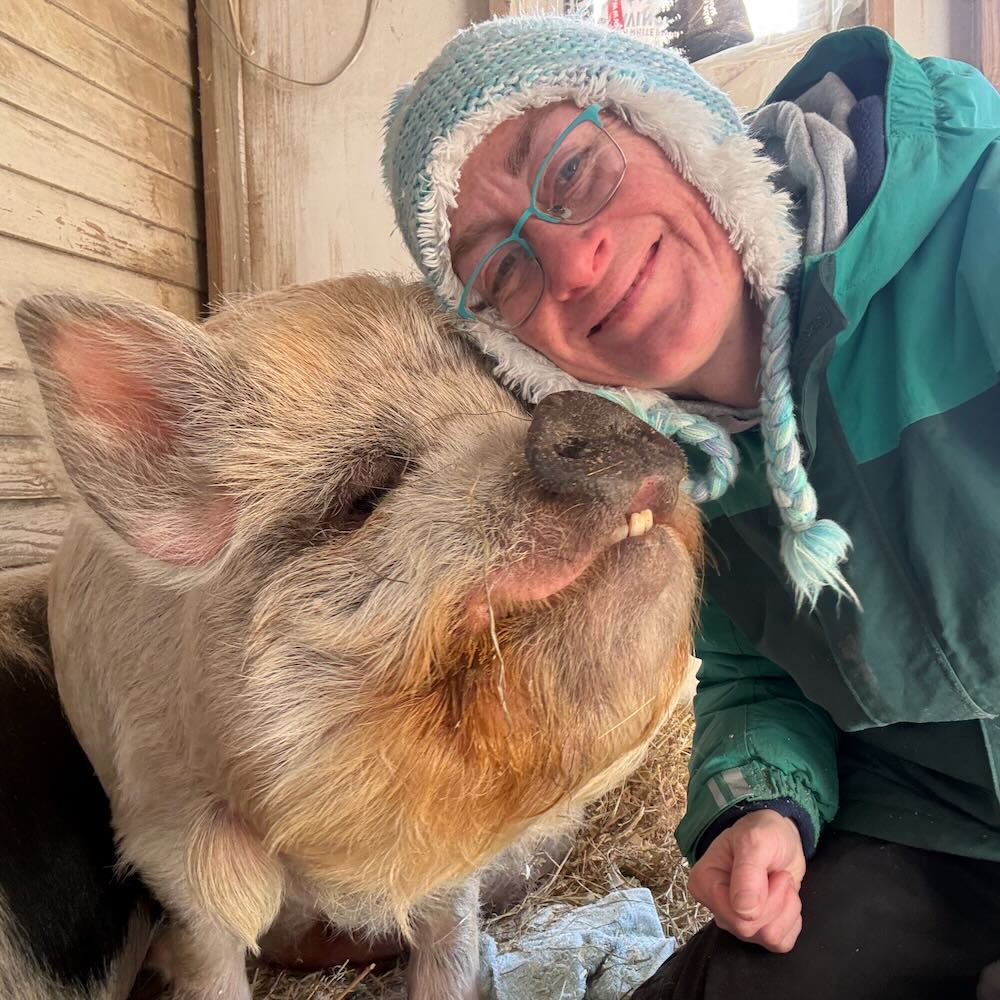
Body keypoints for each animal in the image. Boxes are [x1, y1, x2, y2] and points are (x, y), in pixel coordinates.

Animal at [13, 274, 702, 999]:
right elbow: (213, 960)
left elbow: (450, 947)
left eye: (512, 402)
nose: (586, 413)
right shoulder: (169, 835)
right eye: (367, 494)